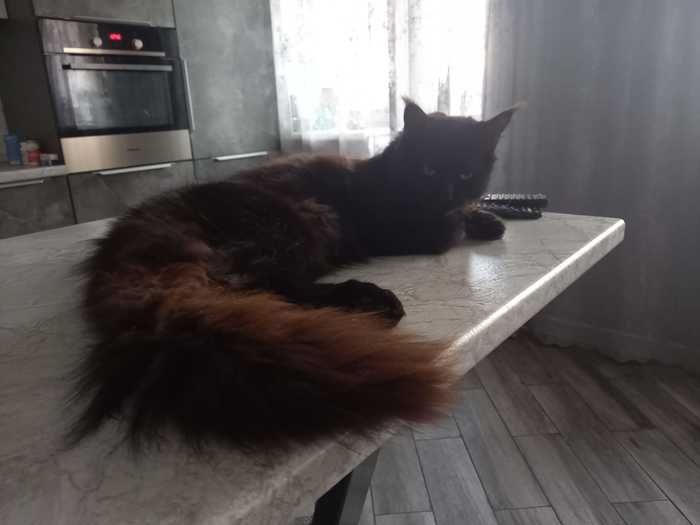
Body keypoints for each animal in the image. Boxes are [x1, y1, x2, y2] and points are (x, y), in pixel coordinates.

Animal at [69, 100, 516, 451]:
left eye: (465, 174)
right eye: (428, 170)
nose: (446, 194)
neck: (389, 176)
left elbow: (473, 213)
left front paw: (490, 218)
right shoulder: (405, 230)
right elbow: (451, 229)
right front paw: (471, 219)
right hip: (298, 221)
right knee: (266, 285)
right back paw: (371, 300)